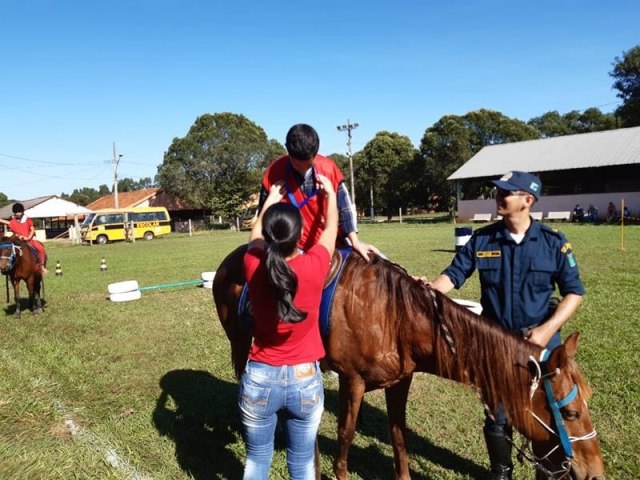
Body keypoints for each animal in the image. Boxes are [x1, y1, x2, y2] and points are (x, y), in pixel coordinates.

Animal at [211, 246, 604, 478]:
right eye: (570, 413)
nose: (595, 472)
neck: (393, 314)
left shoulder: (400, 381)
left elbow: (398, 435)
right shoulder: (352, 381)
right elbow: (345, 436)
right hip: (241, 343)